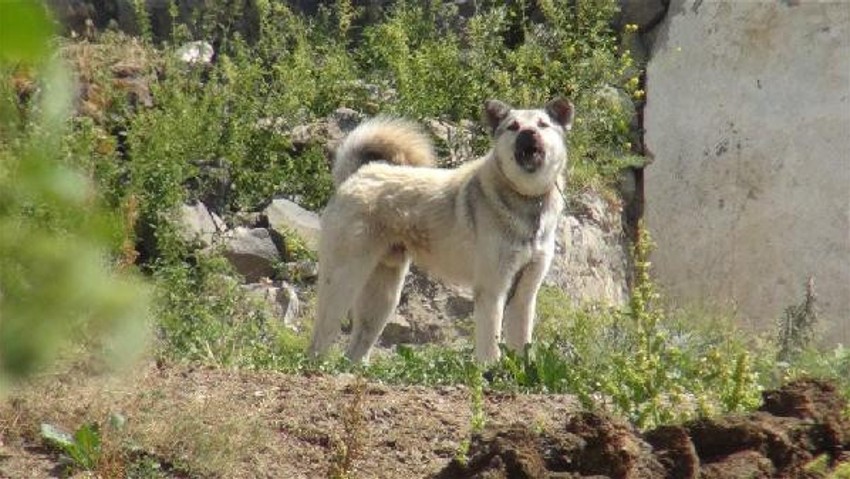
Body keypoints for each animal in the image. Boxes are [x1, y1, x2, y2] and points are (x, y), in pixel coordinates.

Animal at [308, 97, 572, 362]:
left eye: (542, 124)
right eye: (513, 126)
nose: (528, 133)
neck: (528, 199)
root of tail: (358, 174)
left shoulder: (524, 296)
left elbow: (522, 343)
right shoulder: (492, 291)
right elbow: (491, 346)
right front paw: (491, 370)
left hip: (382, 296)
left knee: (356, 347)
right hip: (342, 282)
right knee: (320, 339)